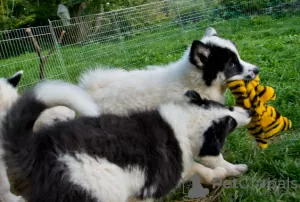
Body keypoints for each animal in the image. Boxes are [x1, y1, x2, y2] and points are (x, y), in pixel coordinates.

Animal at [2, 80, 251, 202]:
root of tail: (32, 148)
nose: (248, 112)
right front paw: (227, 171)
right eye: (230, 123)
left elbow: (200, 169)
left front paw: (228, 172)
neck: (186, 122)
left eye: (228, 109)